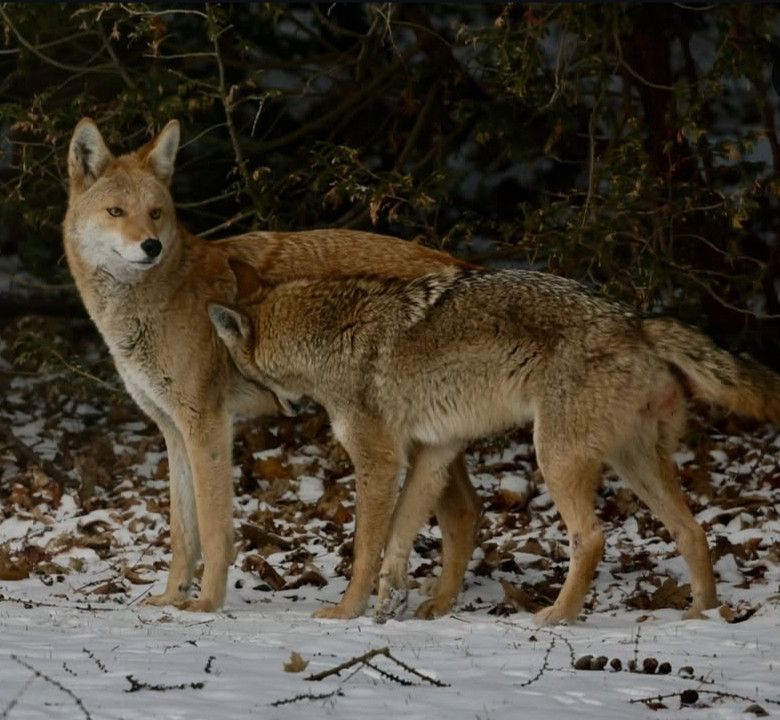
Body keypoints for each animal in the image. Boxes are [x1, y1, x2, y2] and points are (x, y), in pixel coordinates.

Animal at [62, 118, 480, 616]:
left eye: (156, 212)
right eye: (116, 211)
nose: (151, 245)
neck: (156, 301)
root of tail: (456, 261)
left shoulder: (207, 425)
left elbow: (213, 531)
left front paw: (205, 604)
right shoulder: (172, 431)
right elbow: (183, 533)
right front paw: (170, 597)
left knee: (461, 512)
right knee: (468, 509)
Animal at [208, 266, 780, 624]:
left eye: (238, 371)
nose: (277, 414)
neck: (327, 338)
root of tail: (636, 322)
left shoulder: (379, 460)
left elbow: (367, 546)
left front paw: (346, 611)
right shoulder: (435, 450)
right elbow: (400, 538)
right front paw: (392, 598)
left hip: (556, 457)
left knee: (592, 538)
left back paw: (556, 617)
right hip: (632, 463)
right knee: (692, 531)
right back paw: (701, 614)